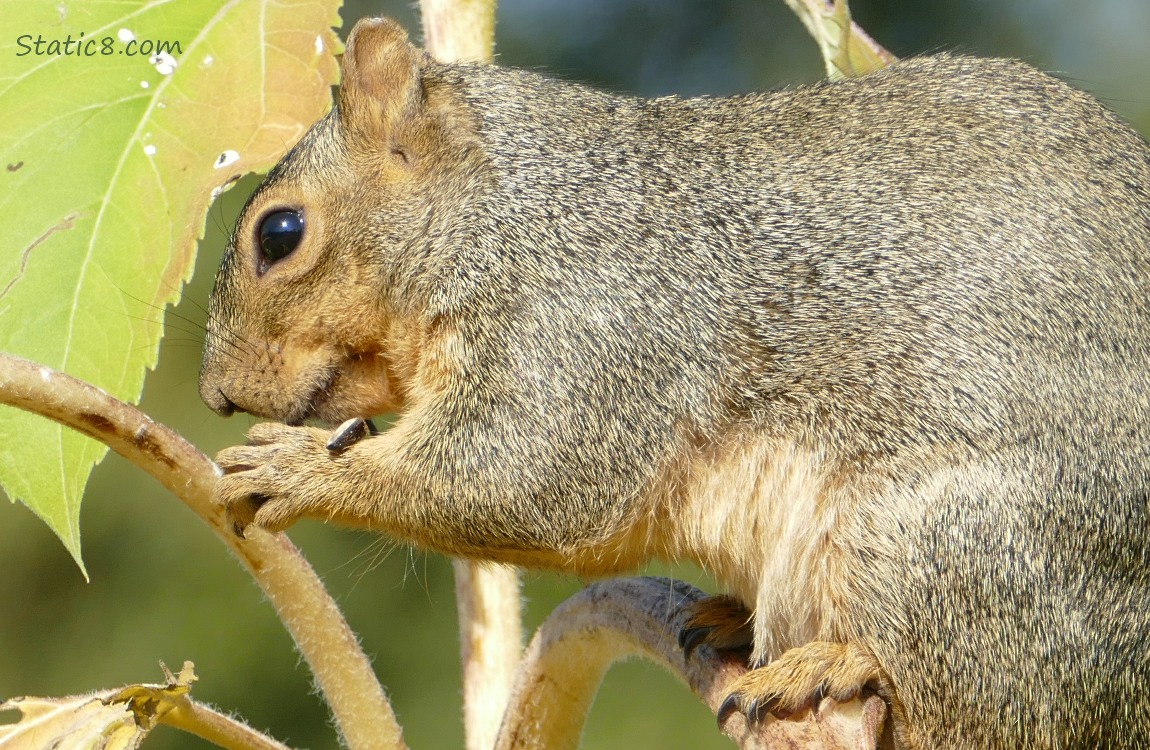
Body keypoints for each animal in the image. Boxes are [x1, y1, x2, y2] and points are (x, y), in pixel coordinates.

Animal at [202, 14, 1150, 745]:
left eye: (279, 233)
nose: (215, 395)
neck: (503, 209)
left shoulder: (589, 325)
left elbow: (522, 479)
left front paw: (299, 469)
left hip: (943, 543)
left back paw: (833, 661)